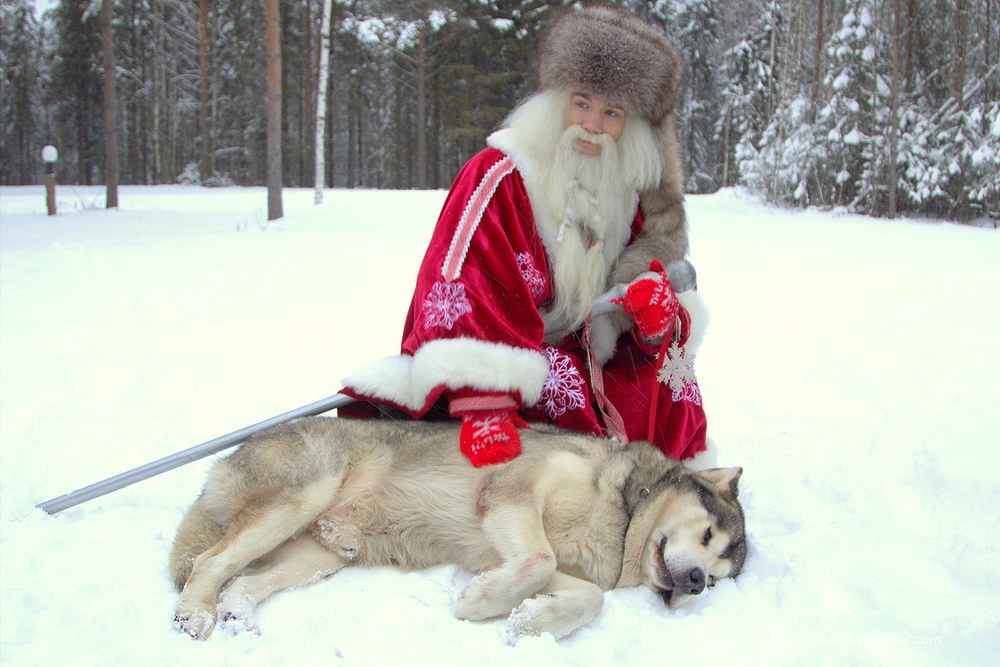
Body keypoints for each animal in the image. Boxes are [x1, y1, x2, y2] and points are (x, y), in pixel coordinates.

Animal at [172, 418, 748, 640]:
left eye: (720, 576)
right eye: (706, 536)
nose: (697, 583)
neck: (622, 516)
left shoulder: (513, 553)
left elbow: (589, 597)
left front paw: (527, 620)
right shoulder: (510, 491)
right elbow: (539, 559)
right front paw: (478, 604)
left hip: (317, 555)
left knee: (244, 581)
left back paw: (239, 612)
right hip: (302, 495)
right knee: (208, 561)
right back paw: (194, 614)